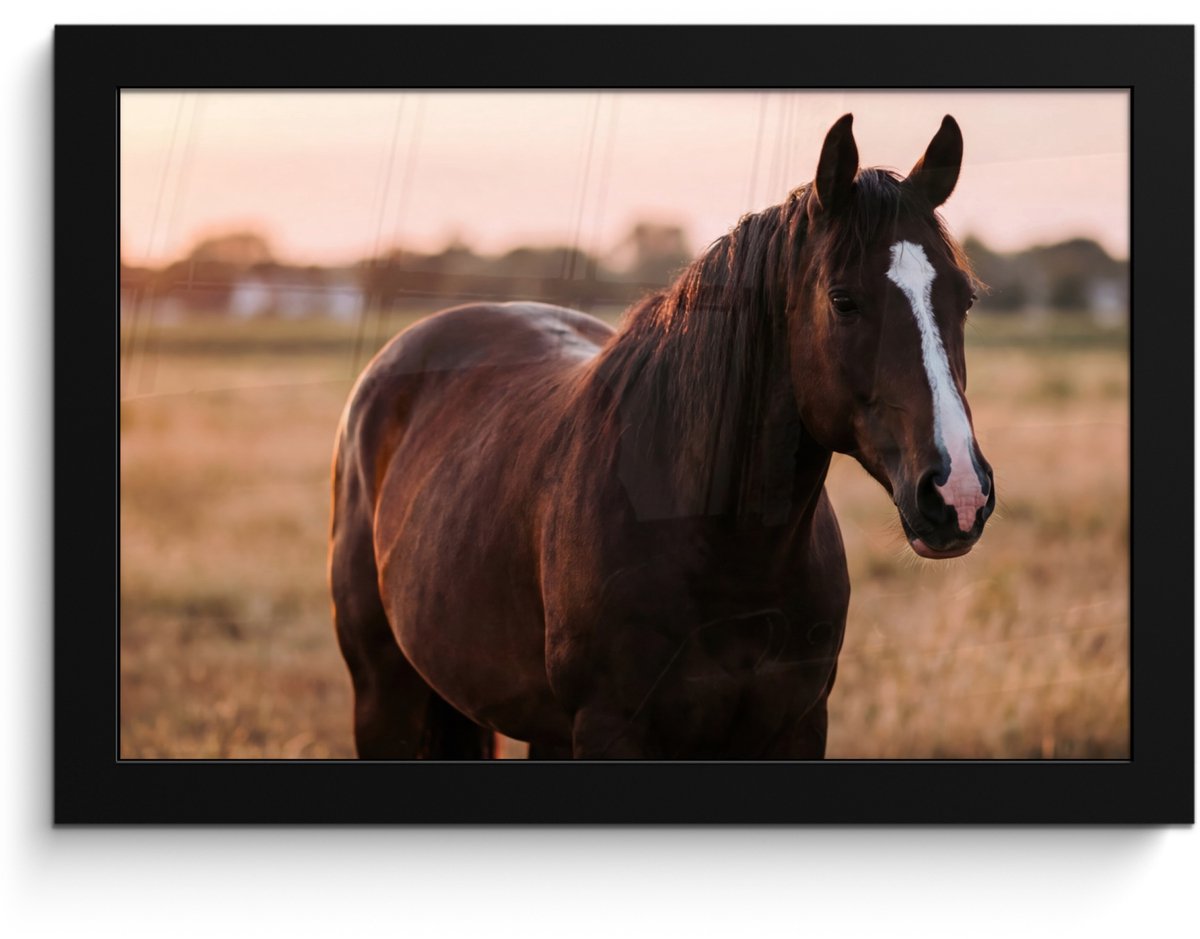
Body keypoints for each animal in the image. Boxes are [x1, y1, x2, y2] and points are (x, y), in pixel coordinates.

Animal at [329, 113, 995, 759]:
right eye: (843, 300)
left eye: (964, 298)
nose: (958, 493)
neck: (724, 550)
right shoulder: (611, 731)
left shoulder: (798, 728)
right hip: (382, 696)